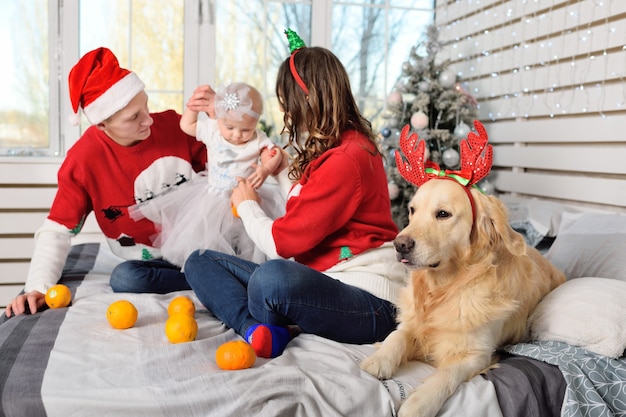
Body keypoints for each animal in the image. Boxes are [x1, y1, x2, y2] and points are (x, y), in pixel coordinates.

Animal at [358, 122, 564, 416]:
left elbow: (445, 375)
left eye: (443, 214)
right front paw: (379, 359)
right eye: (412, 210)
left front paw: (419, 404)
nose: (400, 245)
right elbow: (396, 336)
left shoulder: (476, 354)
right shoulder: (414, 322)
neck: (444, 287)